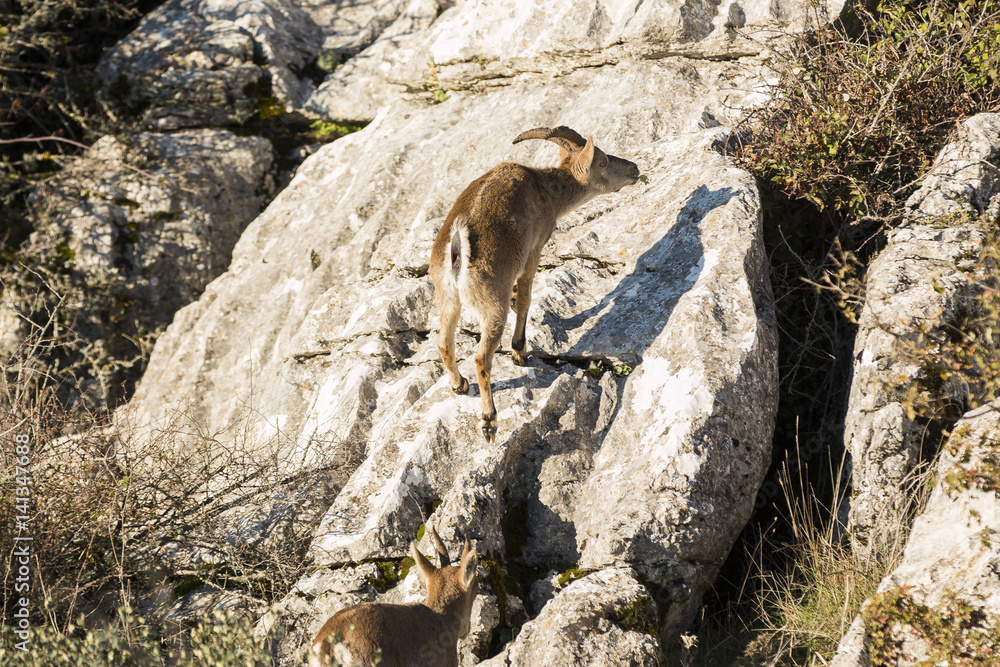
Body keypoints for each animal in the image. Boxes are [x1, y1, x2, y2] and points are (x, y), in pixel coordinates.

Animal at [429, 126, 640, 441]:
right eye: (602, 161)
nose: (634, 169)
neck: (545, 188)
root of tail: (456, 246)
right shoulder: (534, 249)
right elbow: (525, 298)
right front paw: (520, 353)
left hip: (447, 297)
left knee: (444, 343)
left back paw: (459, 385)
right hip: (492, 303)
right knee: (481, 357)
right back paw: (489, 420)